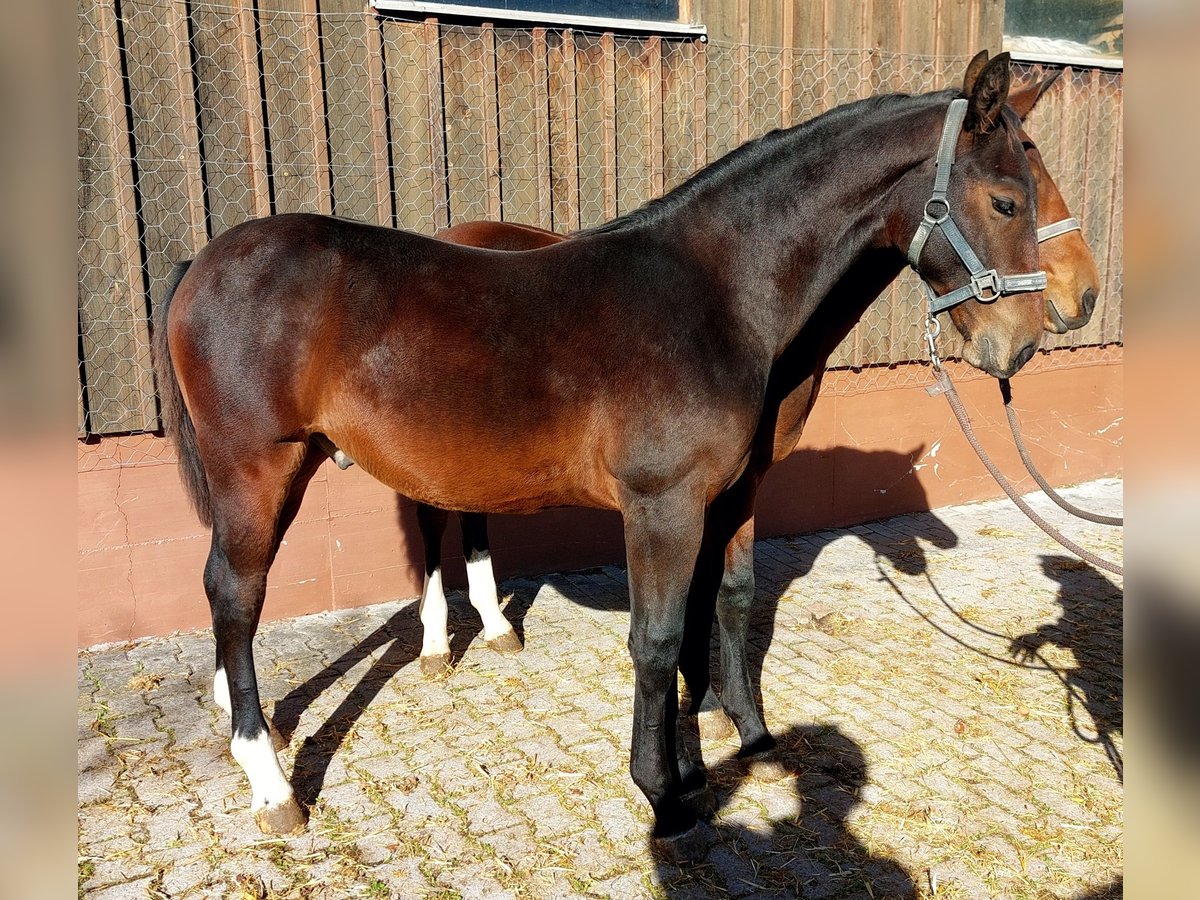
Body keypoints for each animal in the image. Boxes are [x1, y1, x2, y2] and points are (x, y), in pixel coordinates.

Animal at [153, 52, 1050, 855]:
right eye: (1006, 199)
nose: (1022, 344)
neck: (714, 294)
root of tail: (203, 262)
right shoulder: (662, 504)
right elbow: (656, 641)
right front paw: (665, 796)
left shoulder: (722, 497)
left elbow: (714, 610)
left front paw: (728, 751)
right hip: (258, 468)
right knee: (234, 593)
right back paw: (271, 784)